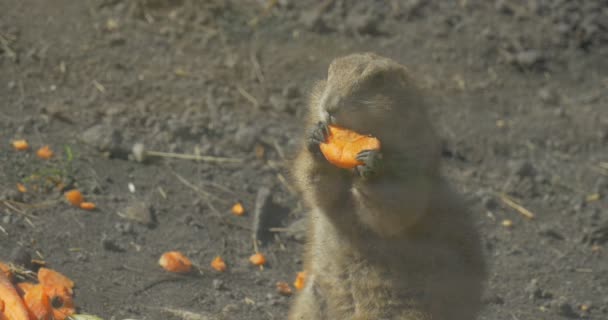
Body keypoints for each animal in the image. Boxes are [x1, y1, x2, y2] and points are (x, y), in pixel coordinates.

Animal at [288, 53, 484, 318]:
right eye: (329, 73)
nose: (329, 106)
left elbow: (397, 206)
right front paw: (317, 138)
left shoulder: (413, 168)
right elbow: (316, 186)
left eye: (377, 79)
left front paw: (370, 164)